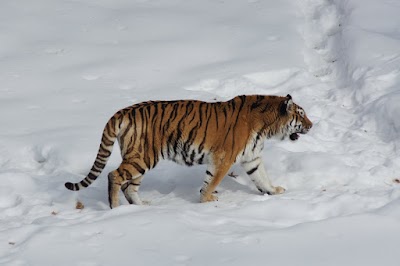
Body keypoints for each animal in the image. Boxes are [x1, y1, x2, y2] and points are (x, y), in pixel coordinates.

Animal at [64, 93, 312, 208]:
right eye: (301, 115)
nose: (311, 125)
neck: (266, 127)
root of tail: (122, 111)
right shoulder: (224, 158)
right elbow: (212, 181)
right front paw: (207, 200)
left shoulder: (252, 158)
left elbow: (261, 178)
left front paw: (274, 191)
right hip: (142, 157)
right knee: (114, 176)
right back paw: (116, 209)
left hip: (140, 160)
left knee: (129, 186)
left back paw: (141, 207)